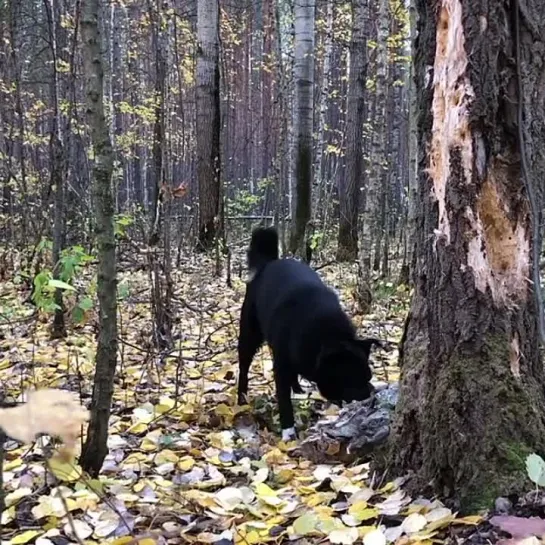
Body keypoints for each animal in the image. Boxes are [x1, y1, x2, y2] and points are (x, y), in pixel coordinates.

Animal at [237, 227, 382, 440]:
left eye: (369, 377)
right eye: (352, 379)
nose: (372, 395)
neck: (328, 336)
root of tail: (268, 263)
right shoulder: (281, 364)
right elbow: (284, 400)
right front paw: (288, 432)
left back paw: (297, 390)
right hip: (250, 333)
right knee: (244, 365)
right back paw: (241, 398)